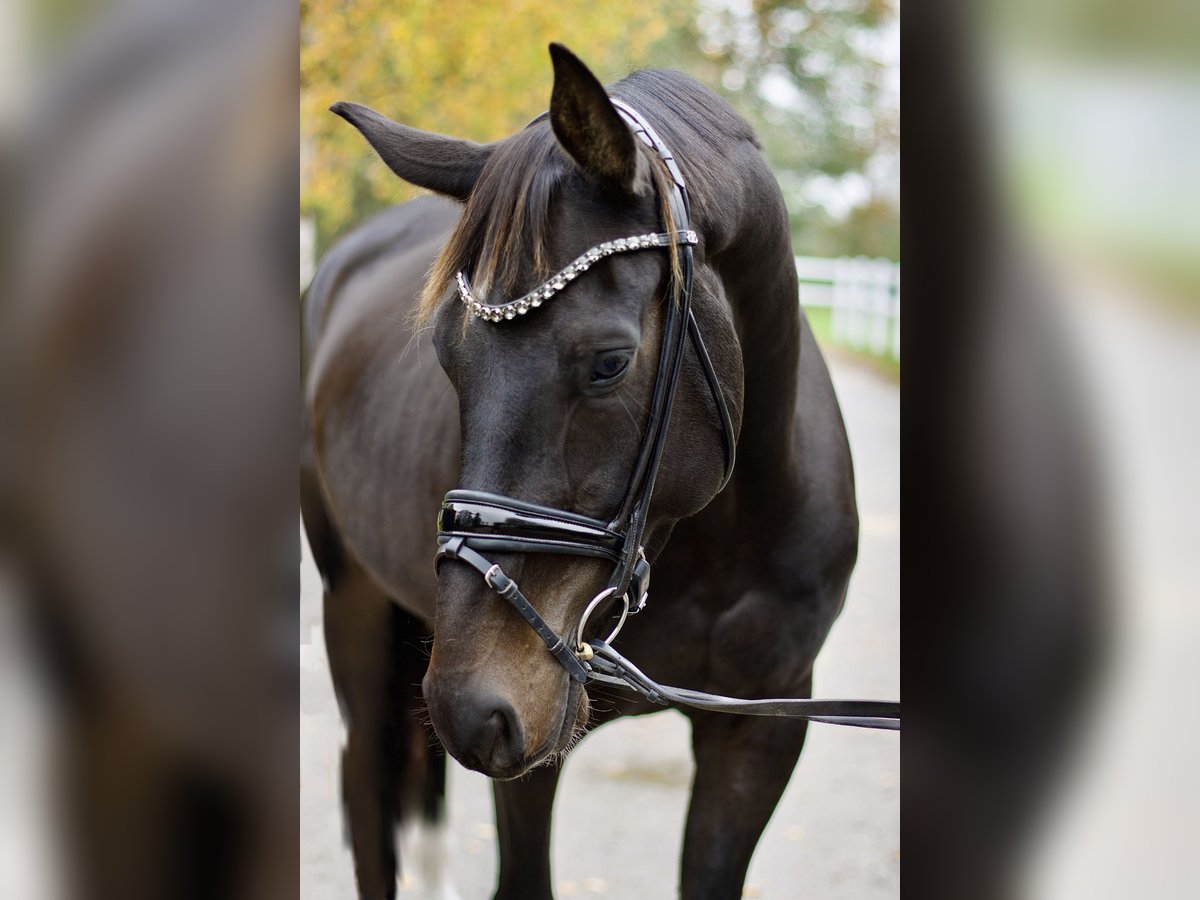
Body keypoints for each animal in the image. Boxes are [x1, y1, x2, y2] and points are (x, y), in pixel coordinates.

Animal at [304, 44, 859, 900]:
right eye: (445, 355)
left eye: (609, 362)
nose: (470, 705)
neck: (716, 543)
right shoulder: (532, 738)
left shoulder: (759, 728)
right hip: (358, 609)